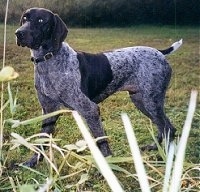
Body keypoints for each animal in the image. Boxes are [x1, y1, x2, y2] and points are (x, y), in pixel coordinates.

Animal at [14, 7, 182, 167]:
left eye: (41, 20)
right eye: (25, 18)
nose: (18, 33)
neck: (49, 60)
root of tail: (159, 52)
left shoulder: (90, 110)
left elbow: (101, 141)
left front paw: (108, 167)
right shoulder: (49, 110)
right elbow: (41, 141)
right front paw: (32, 162)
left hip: (150, 101)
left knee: (168, 128)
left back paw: (166, 158)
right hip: (141, 101)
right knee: (163, 126)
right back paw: (155, 147)